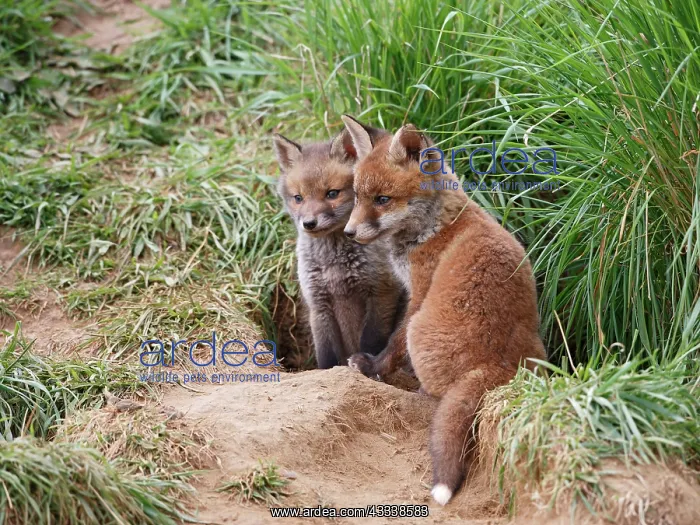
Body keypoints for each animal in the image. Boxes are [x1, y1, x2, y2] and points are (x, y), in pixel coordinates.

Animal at [273, 125, 406, 370]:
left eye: (332, 193)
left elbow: (371, 341)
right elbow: (327, 357)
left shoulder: (382, 291)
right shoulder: (319, 304)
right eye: (298, 198)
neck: (334, 265)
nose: (309, 223)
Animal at [340, 115, 547, 506]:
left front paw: (372, 368)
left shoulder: (418, 295)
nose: (348, 232)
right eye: (357, 196)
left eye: (383, 200)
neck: (436, 227)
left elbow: (393, 345)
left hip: (421, 327)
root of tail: (499, 364)